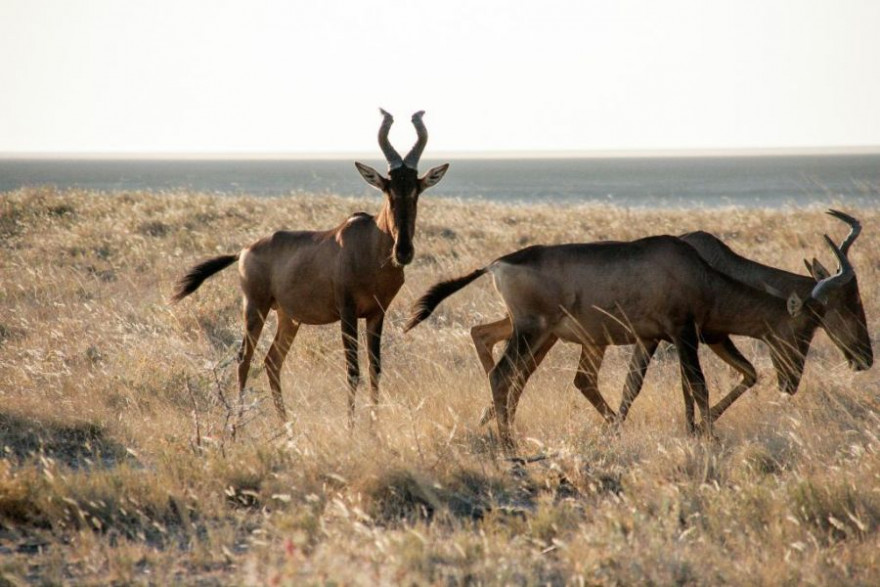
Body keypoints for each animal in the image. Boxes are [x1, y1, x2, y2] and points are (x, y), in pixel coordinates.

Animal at [171, 108, 446, 424]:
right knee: (244, 360)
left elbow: (375, 370)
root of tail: (244, 250)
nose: (403, 252)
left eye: (416, 190)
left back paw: (285, 425)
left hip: (288, 317)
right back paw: (238, 427)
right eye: (387, 189)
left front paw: (374, 429)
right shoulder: (347, 312)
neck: (368, 242)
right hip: (255, 307)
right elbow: (353, 371)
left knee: (271, 361)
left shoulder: (377, 314)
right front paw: (352, 429)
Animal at [406, 232, 852, 448]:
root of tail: (496, 263)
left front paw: (695, 430)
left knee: (504, 364)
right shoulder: (683, 333)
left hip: (536, 333)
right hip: (531, 330)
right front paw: (706, 436)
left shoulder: (665, 337)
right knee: (502, 376)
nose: (792, 383)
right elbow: (698, 385)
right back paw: (508, 442)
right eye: (806, 326)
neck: (692, 269)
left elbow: (673, 387)